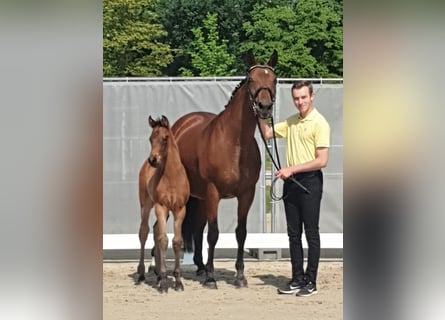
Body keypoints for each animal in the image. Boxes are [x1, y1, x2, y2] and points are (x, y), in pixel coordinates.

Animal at [137, 115, 189, 292]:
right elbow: (163, 240)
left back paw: (159, 276)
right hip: (146, 205)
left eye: (165, 138)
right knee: (144, 232)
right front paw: (165, 283)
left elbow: (177, 242)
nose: (153, 160)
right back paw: (141, 274)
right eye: (150, 138)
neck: (172, 176)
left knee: (154, 230)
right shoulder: (161, 207)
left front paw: (178, 282)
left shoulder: (180, 209)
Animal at [172, 49, 276, 288]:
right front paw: (211, 278)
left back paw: (200, 266)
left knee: (197, 228)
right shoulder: (213, 192)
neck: (234, 143)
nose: (264, 107)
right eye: (251, 80)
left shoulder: (246, 194)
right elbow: (213, 233)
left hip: (199, 197)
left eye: (274, 79)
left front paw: (240, 276)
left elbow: (241, 233)